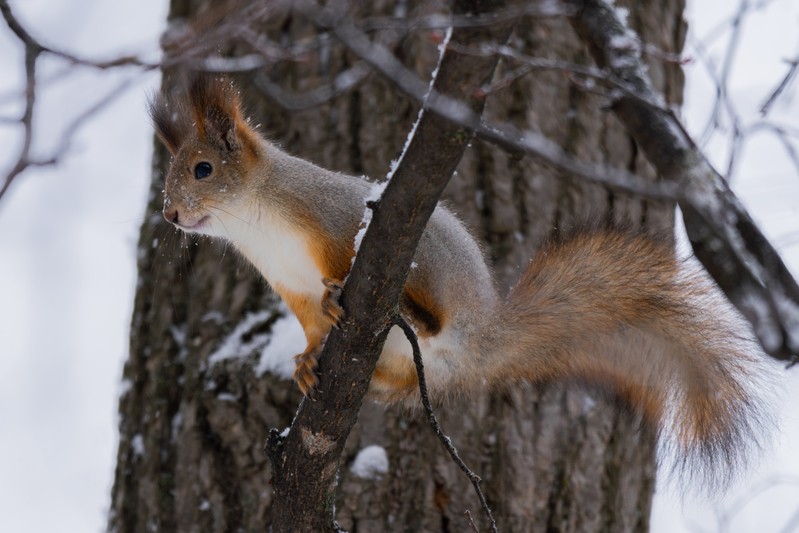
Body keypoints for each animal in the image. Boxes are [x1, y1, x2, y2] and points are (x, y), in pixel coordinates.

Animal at [148, 74, 768, 474]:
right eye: (172, 174)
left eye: (203, 169)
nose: (170, 214)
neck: (257, 224)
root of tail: (482, 338)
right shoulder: (286, 284)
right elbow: (307, 325)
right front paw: (304, 361)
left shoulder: (332, 223)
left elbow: (339, 269)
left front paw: (333, 300)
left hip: (431, 264)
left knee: (429, 322)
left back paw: (414, 314)